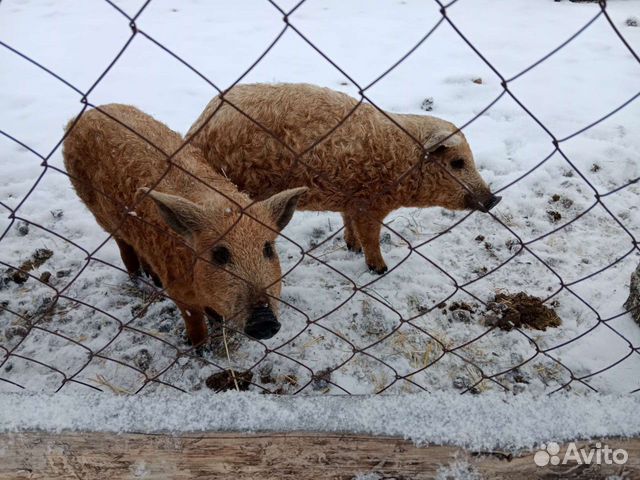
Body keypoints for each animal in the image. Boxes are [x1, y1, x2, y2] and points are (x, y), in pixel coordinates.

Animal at [62, 104, 308, 344]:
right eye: (219, 254)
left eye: (268, 249)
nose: (265, 321)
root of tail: (84, 115)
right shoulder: (179, 292)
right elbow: (194, 321)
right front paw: (199, 347)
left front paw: (217, 324)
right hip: (98, 212)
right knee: (123, 245)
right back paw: (138, 279)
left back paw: (153, 279)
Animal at [185, 82, 500, 274]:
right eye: (457, 162)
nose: (494, 198)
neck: (401, 161)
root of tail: (197, 128)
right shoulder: (369, 204)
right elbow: (371, 236)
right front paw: (380, 269)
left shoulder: (351, 198)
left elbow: (349, 223)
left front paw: (352, 247)